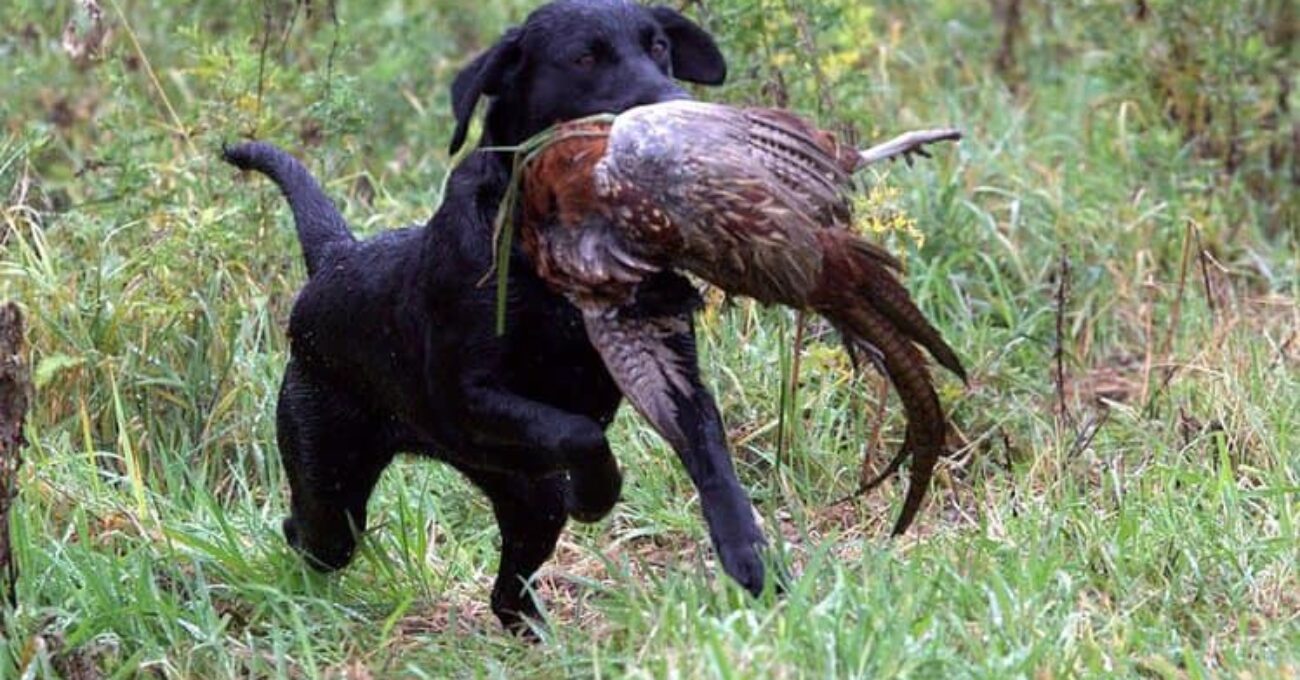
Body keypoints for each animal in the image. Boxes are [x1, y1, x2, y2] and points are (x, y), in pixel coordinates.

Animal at [222, 0, 764, 634]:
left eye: (658, 47)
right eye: (584, 57)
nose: (673, 109)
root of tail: (335, 258)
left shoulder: (671, 374)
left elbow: (712, 455)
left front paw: (748, 553)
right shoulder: (466, 394)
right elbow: (578, 432)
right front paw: (597, 493)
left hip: (526, 500)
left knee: (507, 593)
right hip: (332, 481)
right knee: (309, 532)